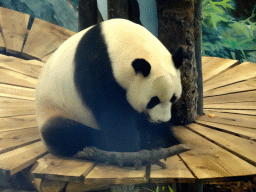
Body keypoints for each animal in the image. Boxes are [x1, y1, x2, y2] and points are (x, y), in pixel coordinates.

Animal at [35, 18, 184, 158]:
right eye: (153, 101)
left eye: (173, 98)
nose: (161, 120)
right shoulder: (97, 72)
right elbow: (114, 116)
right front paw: (130, 145)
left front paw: (163, 137)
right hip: (57, 110)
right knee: (65, 134)